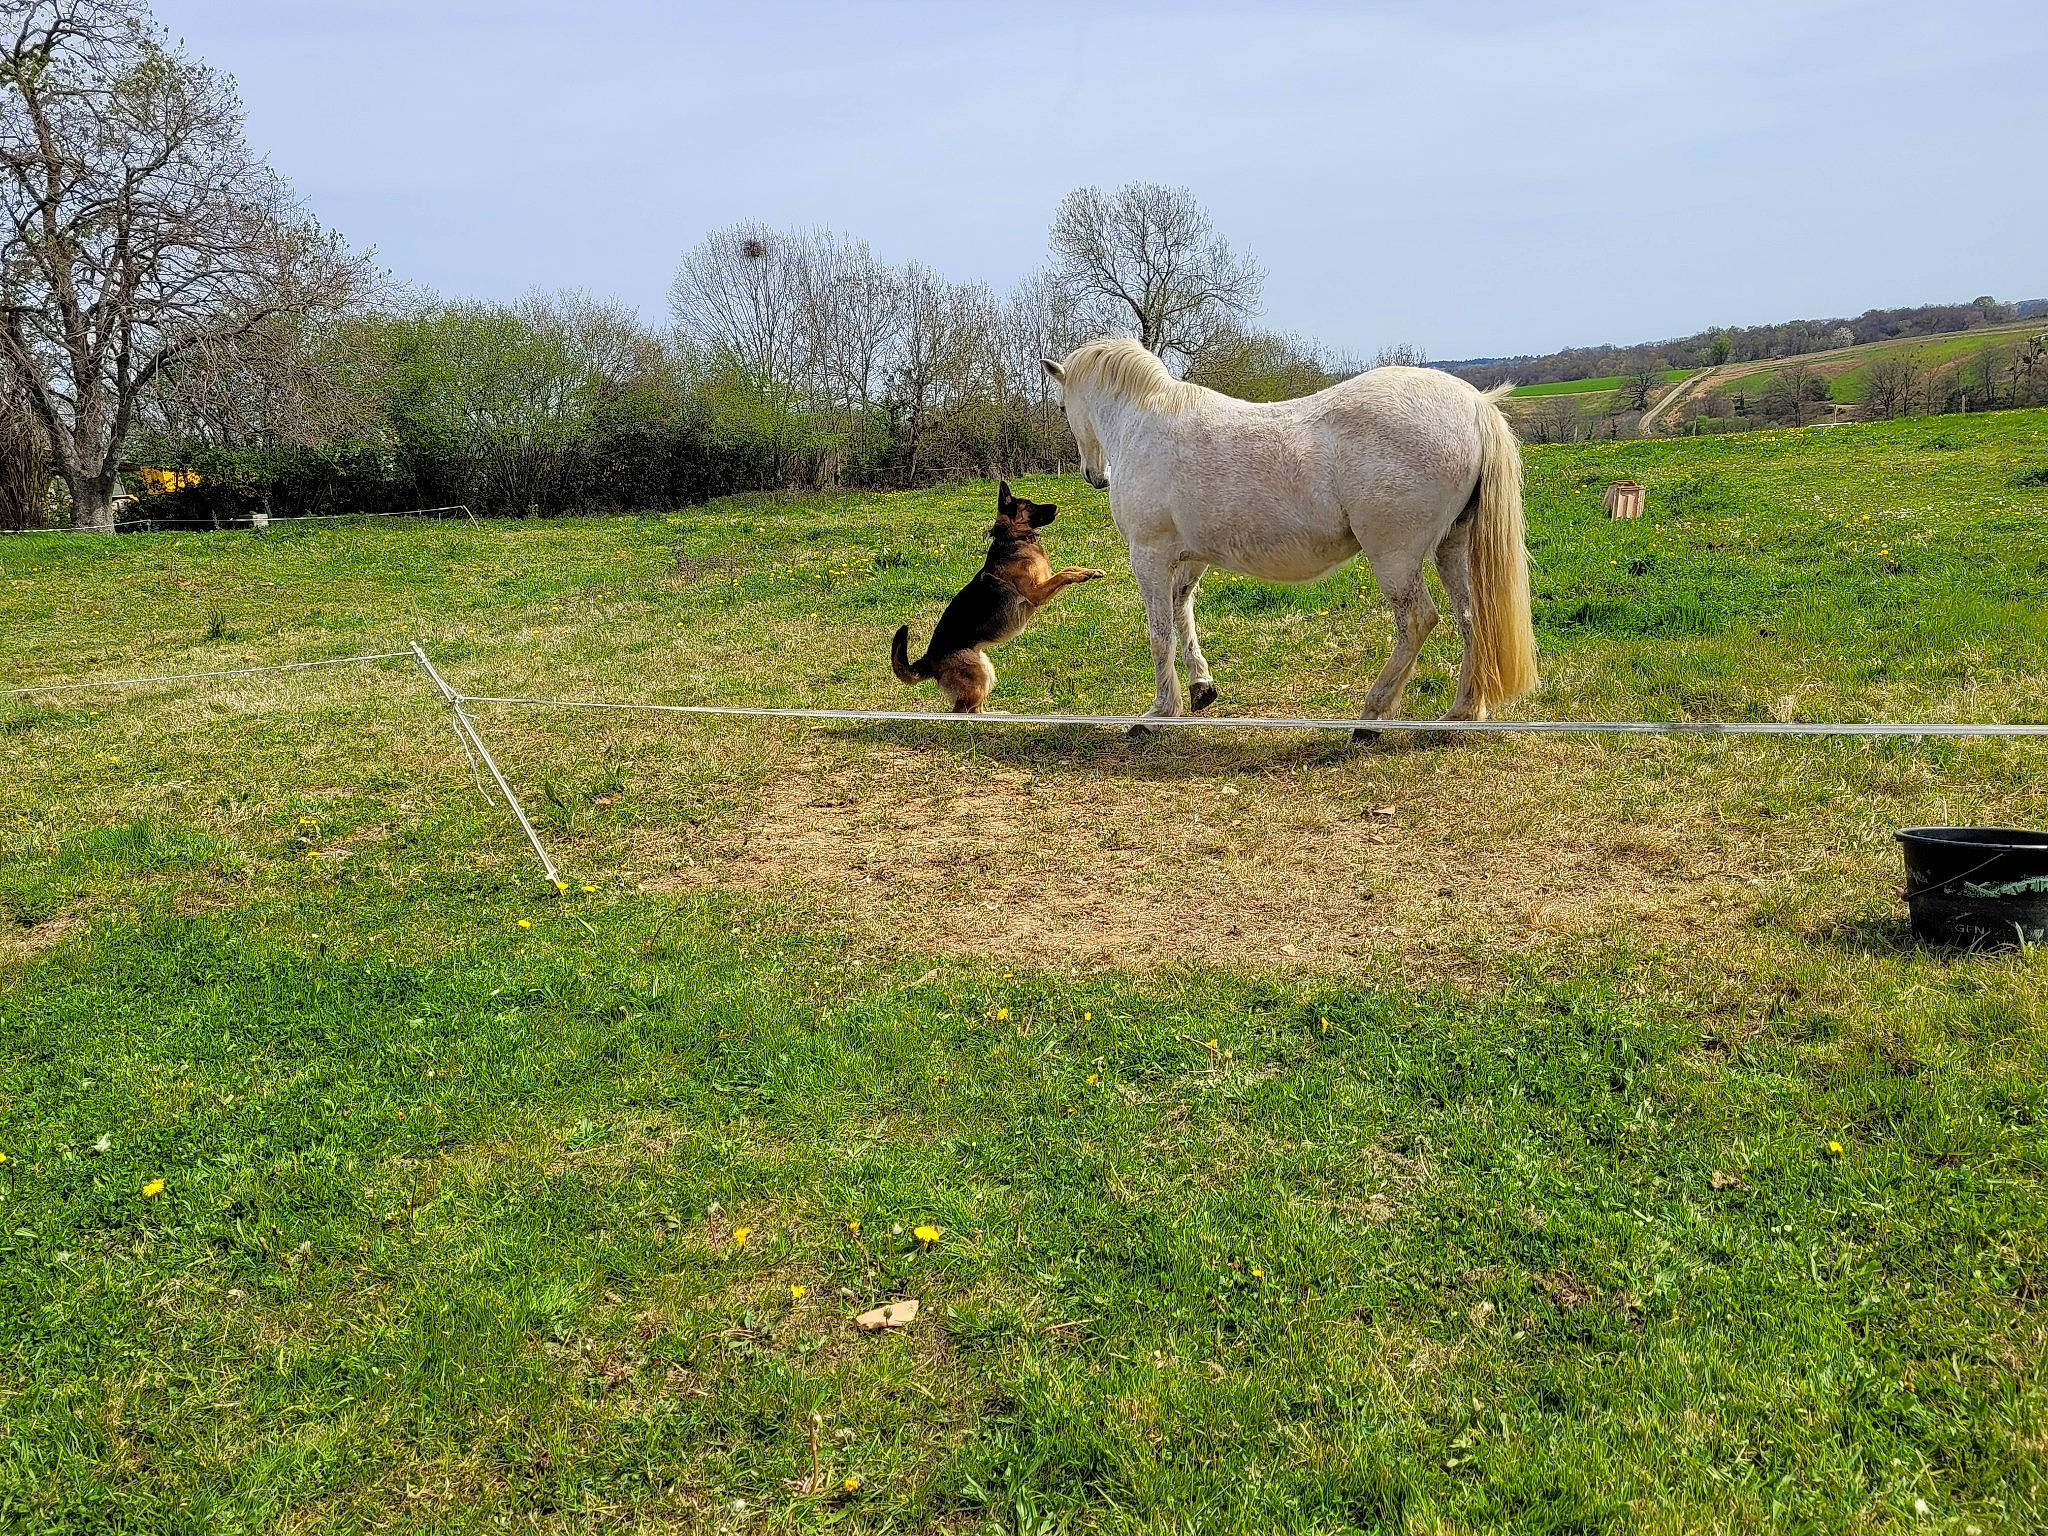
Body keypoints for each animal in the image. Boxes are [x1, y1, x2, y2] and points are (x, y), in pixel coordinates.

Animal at [1040, 337, 1537, 727]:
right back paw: (1462, 711)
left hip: (1394, 557)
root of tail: (1474, 406)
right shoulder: (1192, 556)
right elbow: (1182, 612)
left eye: (1062, 406)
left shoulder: (1148, 555)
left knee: (1417, 622)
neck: (1144, 423)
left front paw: (1161, 711)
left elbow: (1160, 631)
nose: (1094, 476)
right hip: (1451, 547)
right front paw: (1201, 687)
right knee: (1470, 618)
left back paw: (1373, 715)